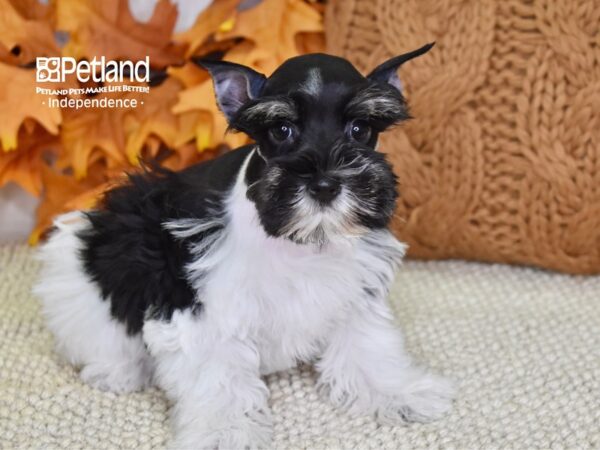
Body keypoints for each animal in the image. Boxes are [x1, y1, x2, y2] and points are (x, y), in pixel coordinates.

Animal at [35, 43, 452, 450]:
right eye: (281, 129)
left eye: (360, 128)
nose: (325, 185)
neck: (296, 240)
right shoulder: (202, 309)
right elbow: (219, 381)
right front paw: (225, 433)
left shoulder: (354, 291)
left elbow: (367, 347)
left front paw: (398, 394)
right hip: (86, 267)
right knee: (102, 329)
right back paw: (116, 371)